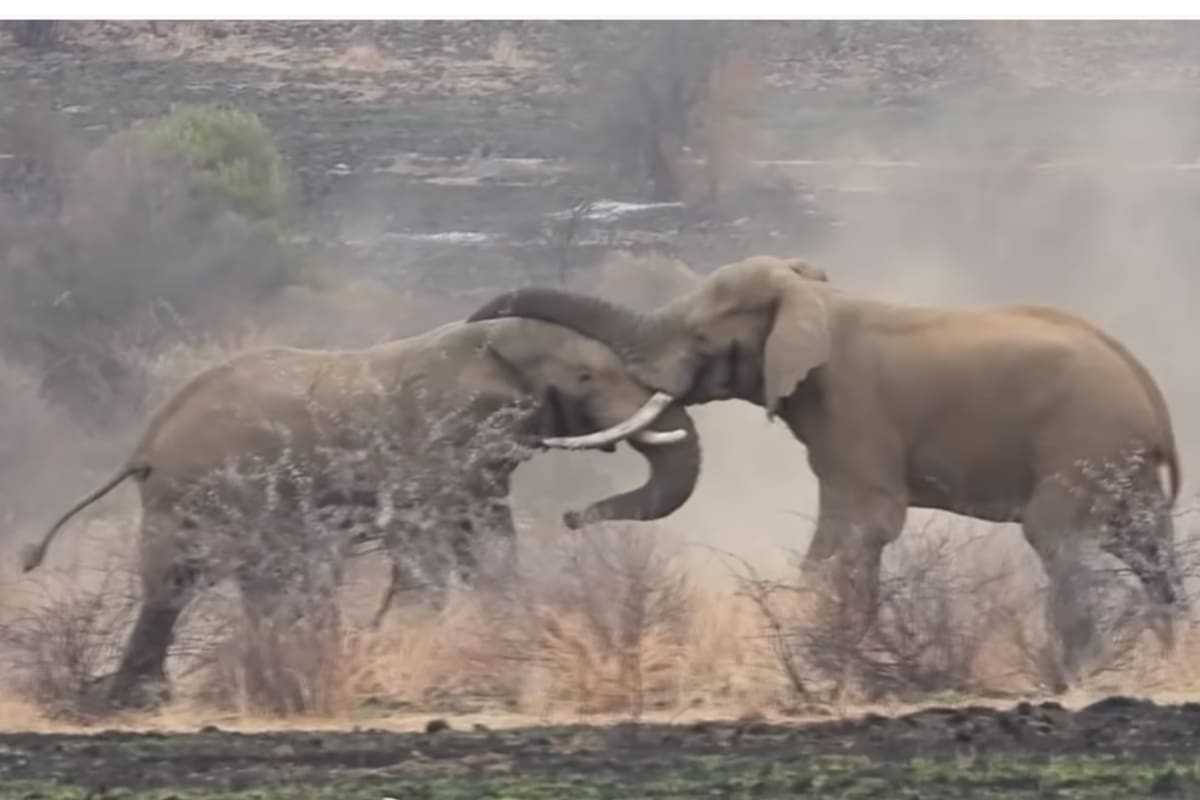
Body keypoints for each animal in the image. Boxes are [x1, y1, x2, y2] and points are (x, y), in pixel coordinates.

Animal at [18, 317, 701, 709]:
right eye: (585, 378)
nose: (572, 518)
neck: (487, 346)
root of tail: (144, 445)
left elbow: (489, 544)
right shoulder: (433, 442)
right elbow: (429, 548)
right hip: (198, 494)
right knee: (174, 585)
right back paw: (138, 700)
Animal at [466, 254, 1186, 688]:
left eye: (701, 339)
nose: (568, 520)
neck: (812, 293)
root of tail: (1151, 395)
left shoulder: (852, 405)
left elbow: (859, 528)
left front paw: (823, 666)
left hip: (1081, 441)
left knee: (1057, 540)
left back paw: (1075, 679)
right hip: (1120, 465)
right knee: (1148, 551)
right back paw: (1169, 658)